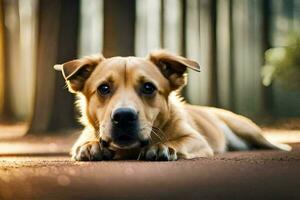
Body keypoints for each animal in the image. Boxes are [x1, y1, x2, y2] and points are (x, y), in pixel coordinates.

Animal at [53, 50, 290, 161]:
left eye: (148, 87)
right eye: (103, 88)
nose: (124, 116)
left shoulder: (197, 140)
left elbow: (178, 141)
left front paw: (163, 147)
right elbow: (86, 143)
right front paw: (91, 146)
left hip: (247, 129)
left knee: (269, 142)